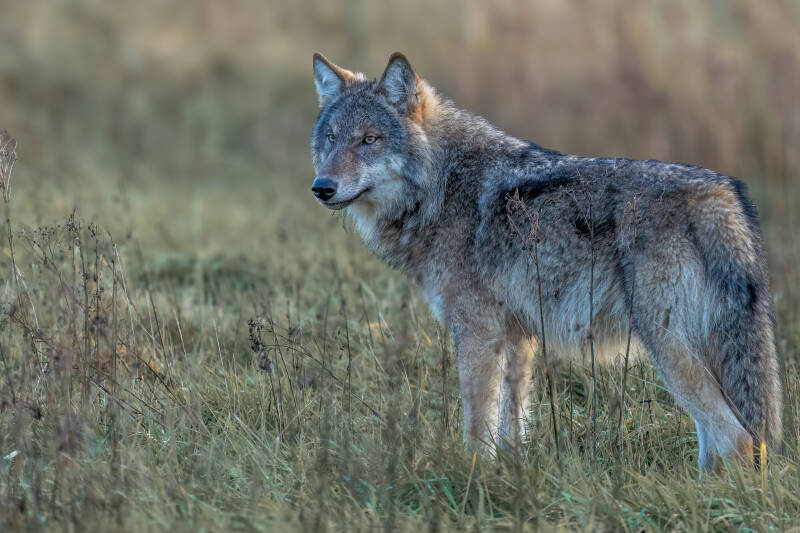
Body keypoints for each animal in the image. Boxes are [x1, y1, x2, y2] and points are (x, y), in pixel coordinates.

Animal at [309, 52, 781, 472]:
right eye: (331, 139)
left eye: (369, 140)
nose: (321, 188)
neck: (442, 187)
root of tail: (722, 193)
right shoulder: (518, 336)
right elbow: (511, 429)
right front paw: (510, 477)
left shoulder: (478, 334)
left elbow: (476, 430)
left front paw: (473, 481)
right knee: (723, 441)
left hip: (667, 347)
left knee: (738, 439)